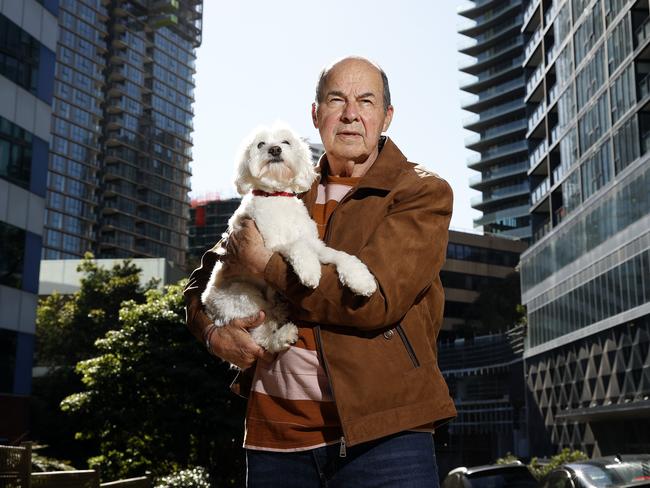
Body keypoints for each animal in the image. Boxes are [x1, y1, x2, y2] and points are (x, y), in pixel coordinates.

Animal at [201, 124, 374, 352]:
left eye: (285, 142)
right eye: (261, 144)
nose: (275, 149)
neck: (277, 197)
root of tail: (208, 306)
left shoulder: (315, 243)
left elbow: (340, 255)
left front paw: (360, 279)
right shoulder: (270, 243)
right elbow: (297, 245)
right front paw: (310, 270)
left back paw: (280, 311)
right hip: (244, 295)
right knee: (260, 338)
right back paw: (283, 335)